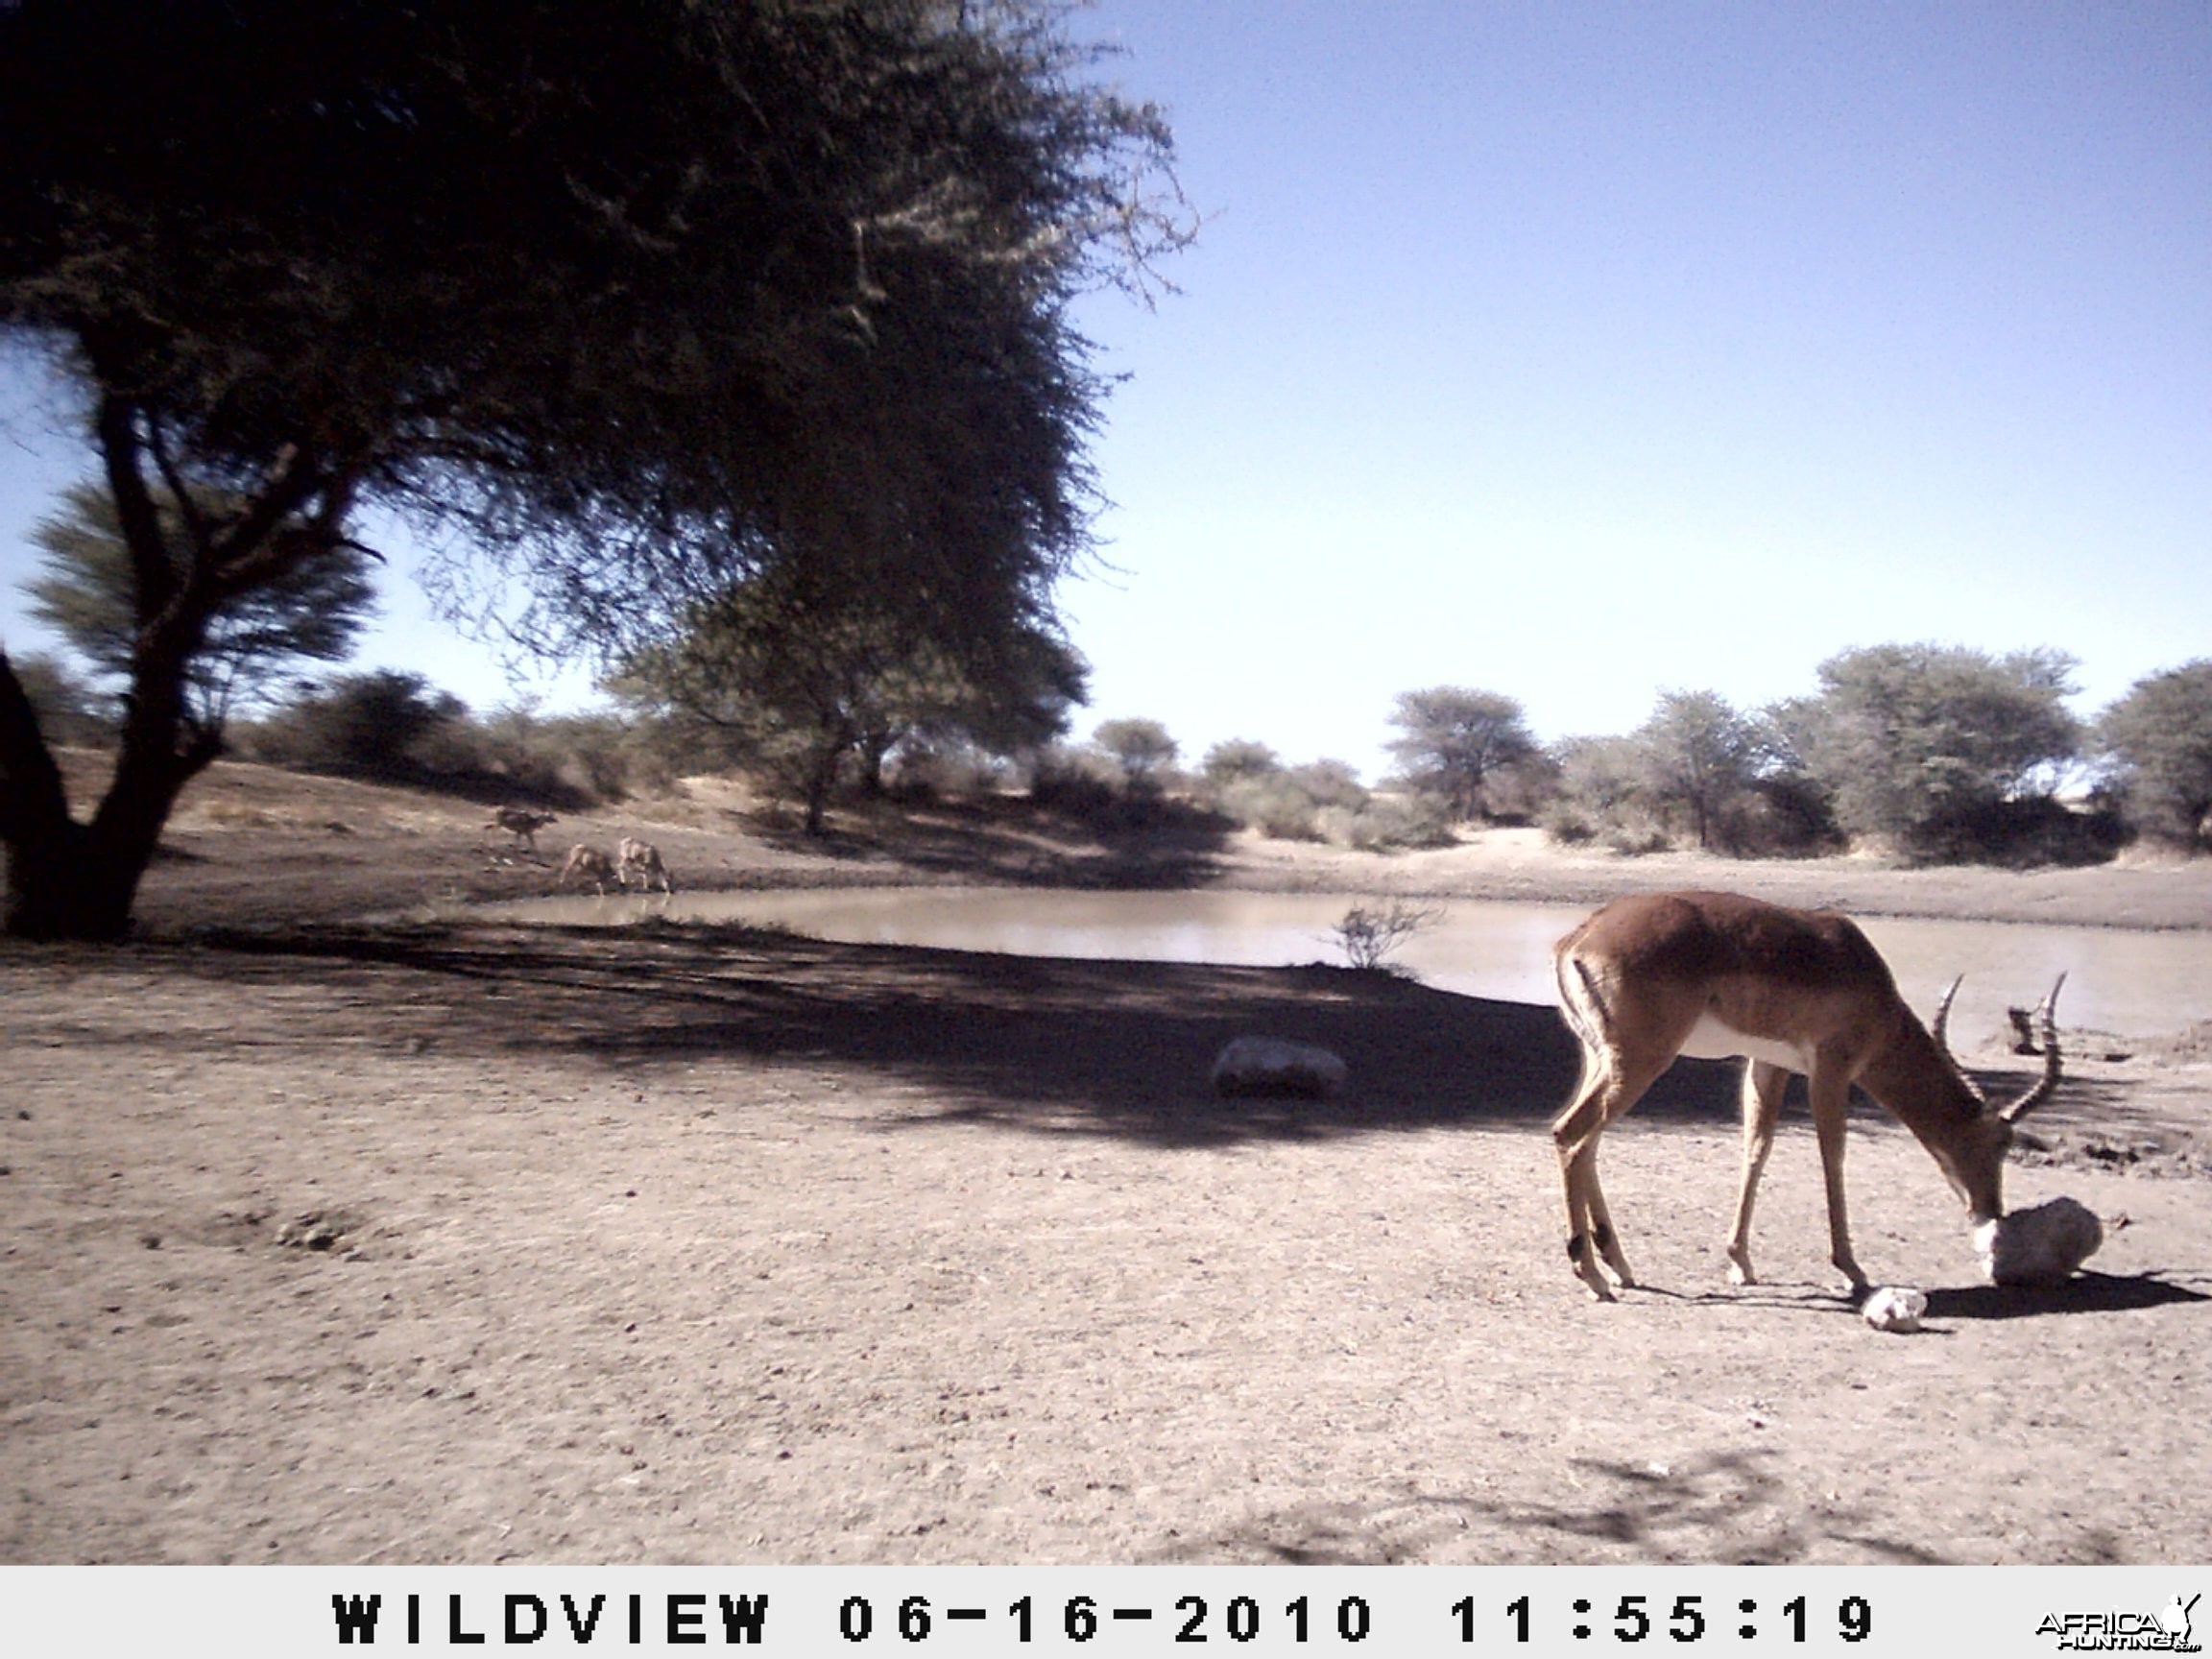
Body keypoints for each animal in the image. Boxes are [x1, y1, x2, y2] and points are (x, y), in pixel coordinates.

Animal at [1548, 889, 2061, 1309]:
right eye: (1997, 1144)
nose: (1990, 1211)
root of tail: (1577, 939)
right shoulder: (1832, 1068)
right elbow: (1832, 1155)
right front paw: (1852, 1269)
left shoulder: (1768, 1063)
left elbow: (1756, 1148)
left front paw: (1740, 1262)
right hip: (1640, 1061)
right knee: (1571, 1134)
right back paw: (1593, 1275)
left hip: (1602, 1058)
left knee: (1583, 1140)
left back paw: (1620, 1266)